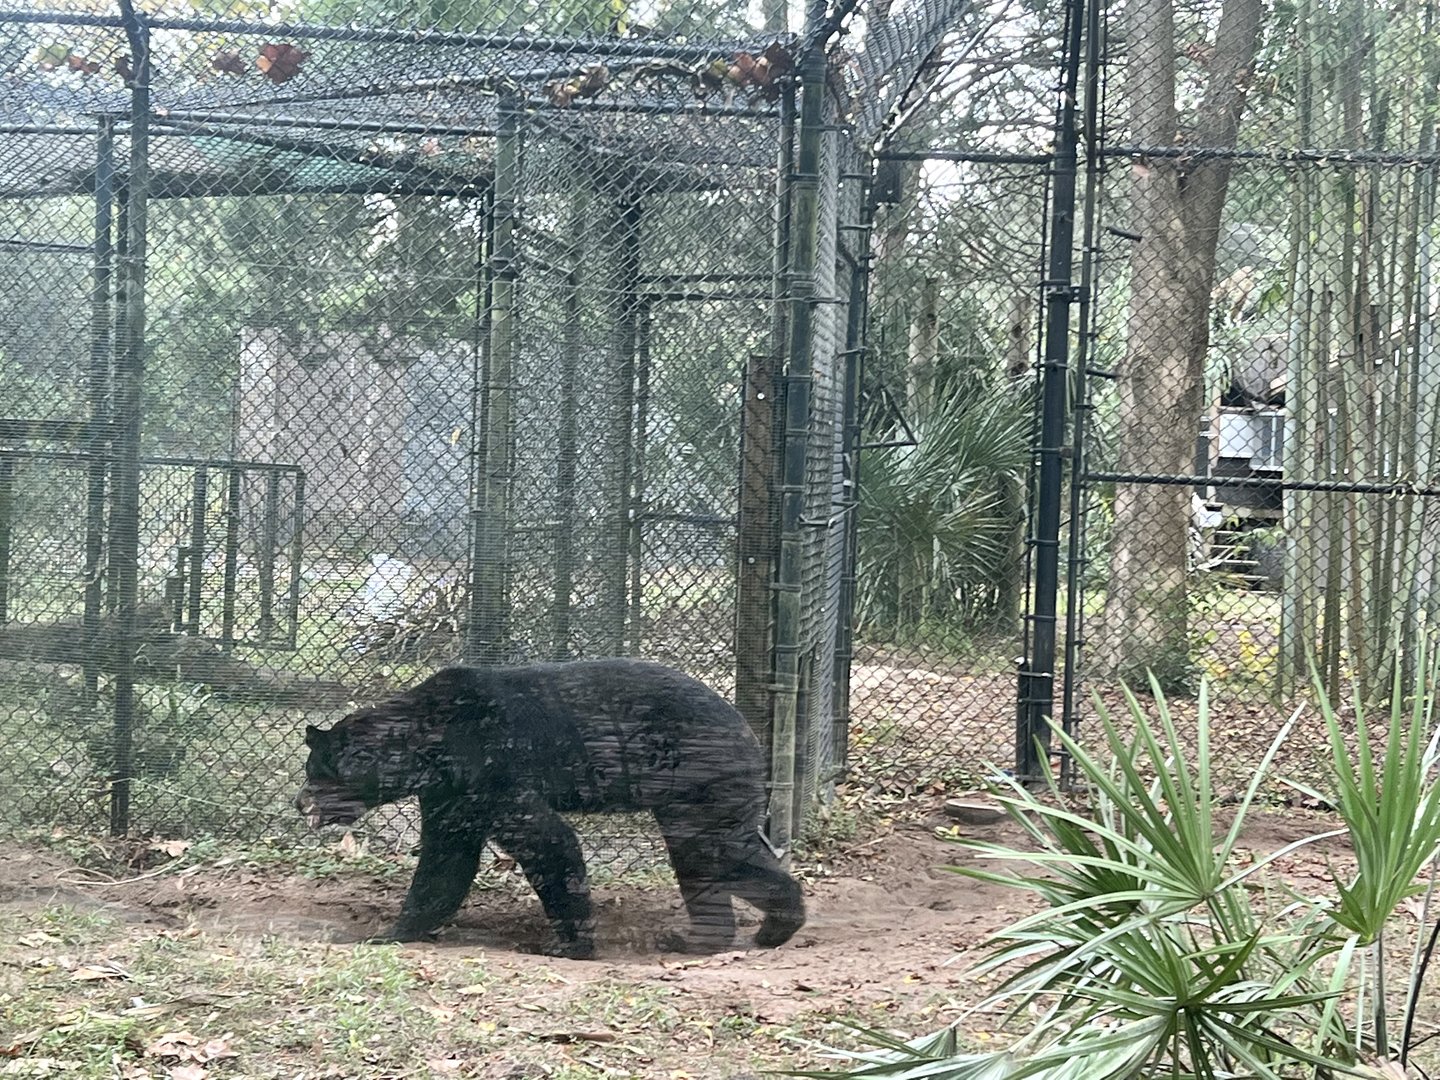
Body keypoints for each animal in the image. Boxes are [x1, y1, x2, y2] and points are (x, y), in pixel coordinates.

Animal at [296, 658, 806, 958]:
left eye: (316, 770)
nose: (300, 803)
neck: (431, 747)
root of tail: (749, 733)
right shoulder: (451, 793)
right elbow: (444, 861)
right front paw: (394, 931)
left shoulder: (493, 769)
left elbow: (548, 842)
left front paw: (569, 944)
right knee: (719, 859)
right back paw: (759, 929)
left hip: (698, 784)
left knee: (710, 854)